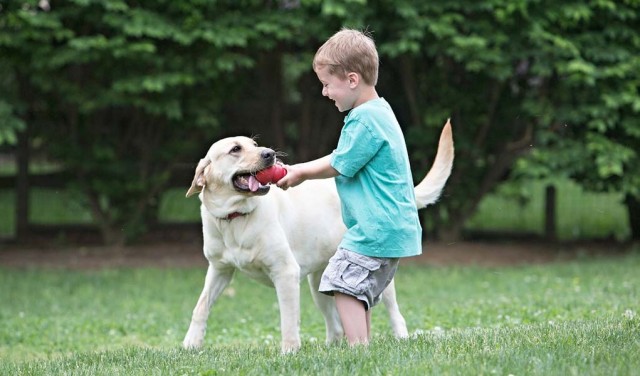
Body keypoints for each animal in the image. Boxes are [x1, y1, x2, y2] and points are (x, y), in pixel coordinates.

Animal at [182, 119, 452, 352]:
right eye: (235, 149)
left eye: (255, 145)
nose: (269, 153)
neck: (235, 218)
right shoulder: (219, 270)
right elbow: (200, 307)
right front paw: (191, 344)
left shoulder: (285, 273)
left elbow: (288, 319)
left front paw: (289, 351)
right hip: (319, 285)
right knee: (336, 326)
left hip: (376, 278)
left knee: (394, 313)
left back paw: (398, 338)